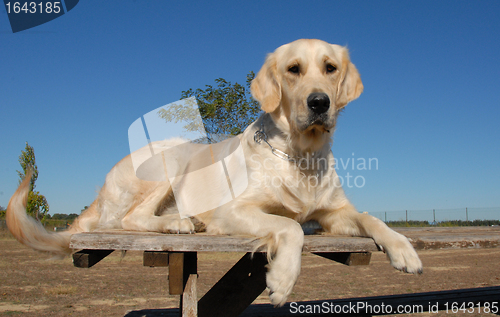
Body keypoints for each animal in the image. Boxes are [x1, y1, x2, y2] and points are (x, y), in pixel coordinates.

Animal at [6, 38, 422, 304]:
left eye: (330, 68)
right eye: (294, 69)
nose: (319, 102)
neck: (300, 154)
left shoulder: (333, 214)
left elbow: (371, 218)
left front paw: (404, 250)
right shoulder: (234, 210)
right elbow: (288, 227)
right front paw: (283, 278)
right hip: (172, 158)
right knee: (129, 218)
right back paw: (179, 223)